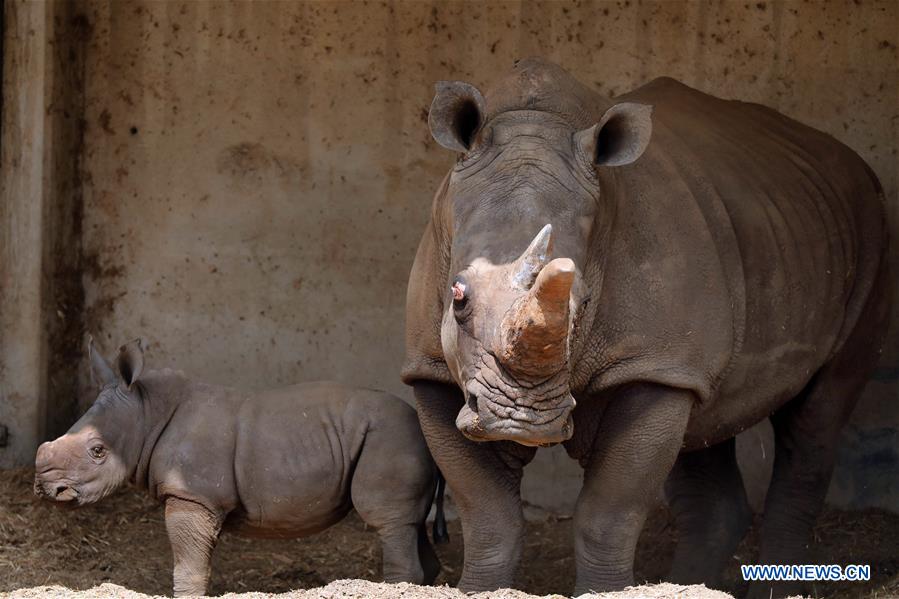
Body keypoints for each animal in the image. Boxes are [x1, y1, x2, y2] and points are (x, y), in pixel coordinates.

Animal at [35, 338, 447, 596]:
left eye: (97, 451)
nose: (46, 489)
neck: (147, 412)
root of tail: (423, 427)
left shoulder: (193, 496)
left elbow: (189, 565)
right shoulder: (197, 498)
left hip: (389, 439)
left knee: (389, 523)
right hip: (400, 440)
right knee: (410, 525)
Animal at [403, 58, 890, 598]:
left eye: (583, 303)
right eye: (458, 297)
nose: (521, 422)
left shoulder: (650, 364)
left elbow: (609, 510)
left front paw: (603, 590)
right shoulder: (430, 368)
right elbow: (488, 514)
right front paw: (482, 588)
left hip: (870, 229)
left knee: (818, 412)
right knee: (706, 420)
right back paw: (690, 584)